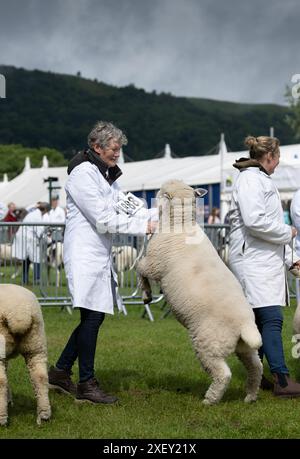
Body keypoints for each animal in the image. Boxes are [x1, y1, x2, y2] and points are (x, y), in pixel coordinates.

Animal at [0, 286, 51, 426]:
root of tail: (19, 313)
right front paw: (9, 400)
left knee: (1, 380)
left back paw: (2, 418)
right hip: (36, 344)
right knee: (40, 377)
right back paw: (44, 415)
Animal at [137, 181, 262, 406]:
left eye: (161, 193)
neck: (180, 223)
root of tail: (245, 324)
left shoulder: (154, 264)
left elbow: (139, 270)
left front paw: (146, 295)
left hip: (208, 344)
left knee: (223, 374)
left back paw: (209, 400)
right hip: (244, 347)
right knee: (256, 367)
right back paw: (250, 396)